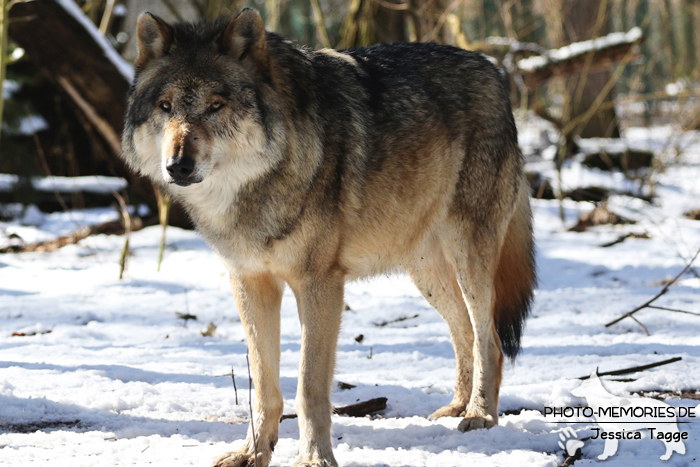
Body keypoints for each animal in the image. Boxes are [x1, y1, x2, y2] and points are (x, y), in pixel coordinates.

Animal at [121, 9, 536, 466]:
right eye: (165, 107)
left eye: (216, 105)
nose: (178, 164)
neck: (259, 185)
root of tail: (493, 69)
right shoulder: (249, 282)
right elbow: (263, 386)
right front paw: (253, 453)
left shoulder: (320, 284)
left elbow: (308, 387)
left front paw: (315, 458)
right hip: (425, 272)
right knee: (463, 331)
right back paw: (457, 407)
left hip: (468, 256)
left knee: (489, 338)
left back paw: (480, 414)